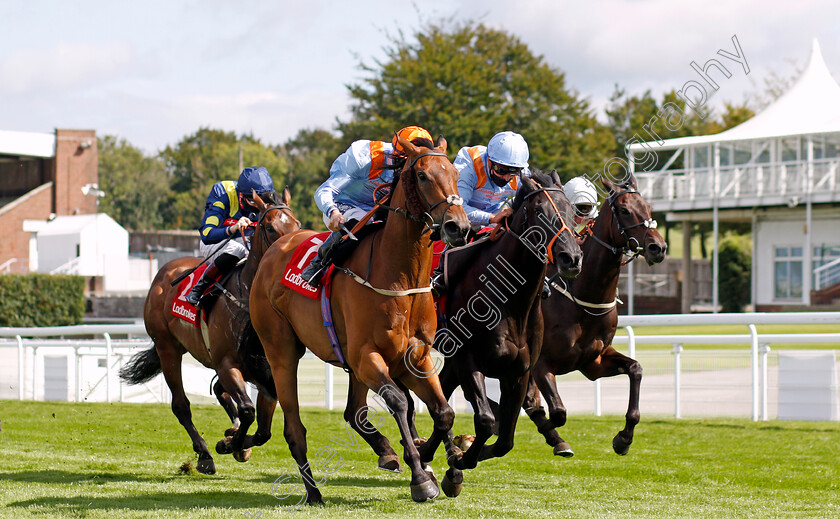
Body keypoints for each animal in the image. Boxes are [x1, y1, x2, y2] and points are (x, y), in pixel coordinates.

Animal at [118, 190, 300, 476]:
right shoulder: (227, 363)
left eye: (297, 225)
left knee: (219, 391)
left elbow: (263, 431)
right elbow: (248, 411)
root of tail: (163, 272)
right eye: (270, 227)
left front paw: (236, 441)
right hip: (168, 348)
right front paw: (229, 444)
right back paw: (204, 454)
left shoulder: (267, 369)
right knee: (181, 405)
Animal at [249, 134, 472, 504]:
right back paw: (313, 492)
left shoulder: (415, 356)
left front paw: (445, 468)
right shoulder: (367, 355)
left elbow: (444, 411)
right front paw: (421, 476)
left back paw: (388, 453)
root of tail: (273, 250)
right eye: (423, 175)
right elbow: (398, 402)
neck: (400, 278)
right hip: (282, 351)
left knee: (354, 411)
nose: (460, 226)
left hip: (350, 364)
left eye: (454, 172)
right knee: (294, 427)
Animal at [524, 176, 668, 460]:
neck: (582, 295)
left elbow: (636, 369)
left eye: (648, 207)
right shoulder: (541, 364)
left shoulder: (594, 362)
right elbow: (555, 411)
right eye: (624, 210)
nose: (658, 247)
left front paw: (623, 439)